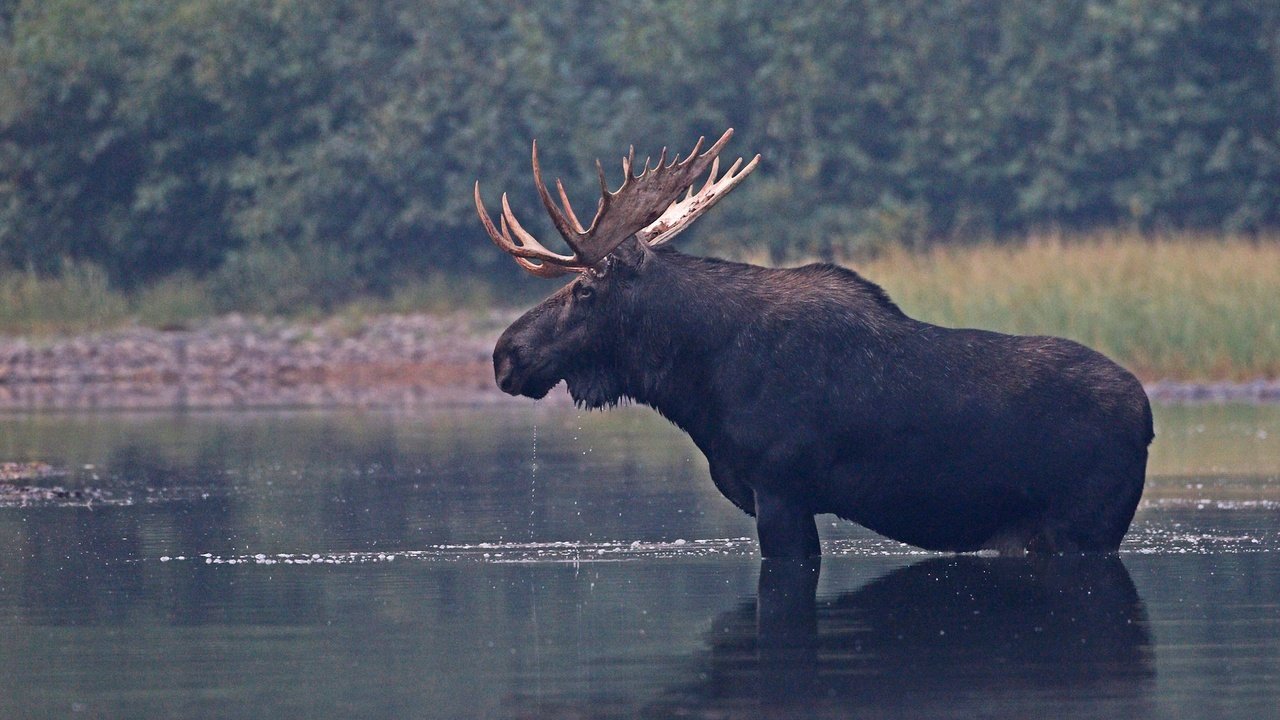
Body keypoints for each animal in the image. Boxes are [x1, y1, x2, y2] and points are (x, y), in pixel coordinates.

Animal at [476, 128, 1157, 558]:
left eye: (586, 289)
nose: (505, 354)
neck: (698, 386)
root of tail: (1147, 418)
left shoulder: (782, 488)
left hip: (1082, 526)